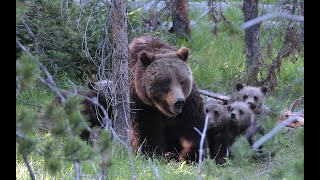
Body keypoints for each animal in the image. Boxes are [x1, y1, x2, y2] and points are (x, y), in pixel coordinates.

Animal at [128, 34, 205, 162]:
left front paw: (191, 154)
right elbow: (147, 131)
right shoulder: (142, 105)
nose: (179, 102)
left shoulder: (188, 104)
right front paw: (153, 153)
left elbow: (194, 127)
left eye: (182, 81)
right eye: (165, 83)